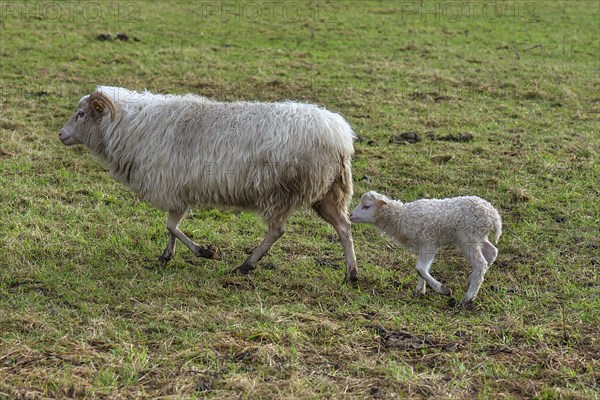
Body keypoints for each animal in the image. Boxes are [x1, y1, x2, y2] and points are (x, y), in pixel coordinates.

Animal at [350, 191, 504, 306]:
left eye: (366, 206)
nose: (350, 215)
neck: (401, 217)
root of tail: (493, 215)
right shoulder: (422, 245)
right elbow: (421, 269)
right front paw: (420, 290)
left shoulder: (429, 242)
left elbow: (420, 268)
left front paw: (443, 290)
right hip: (477, 236)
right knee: (491, 252)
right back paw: (473, 278)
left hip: (468, 237)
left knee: (480, 263)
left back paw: (468, 297)